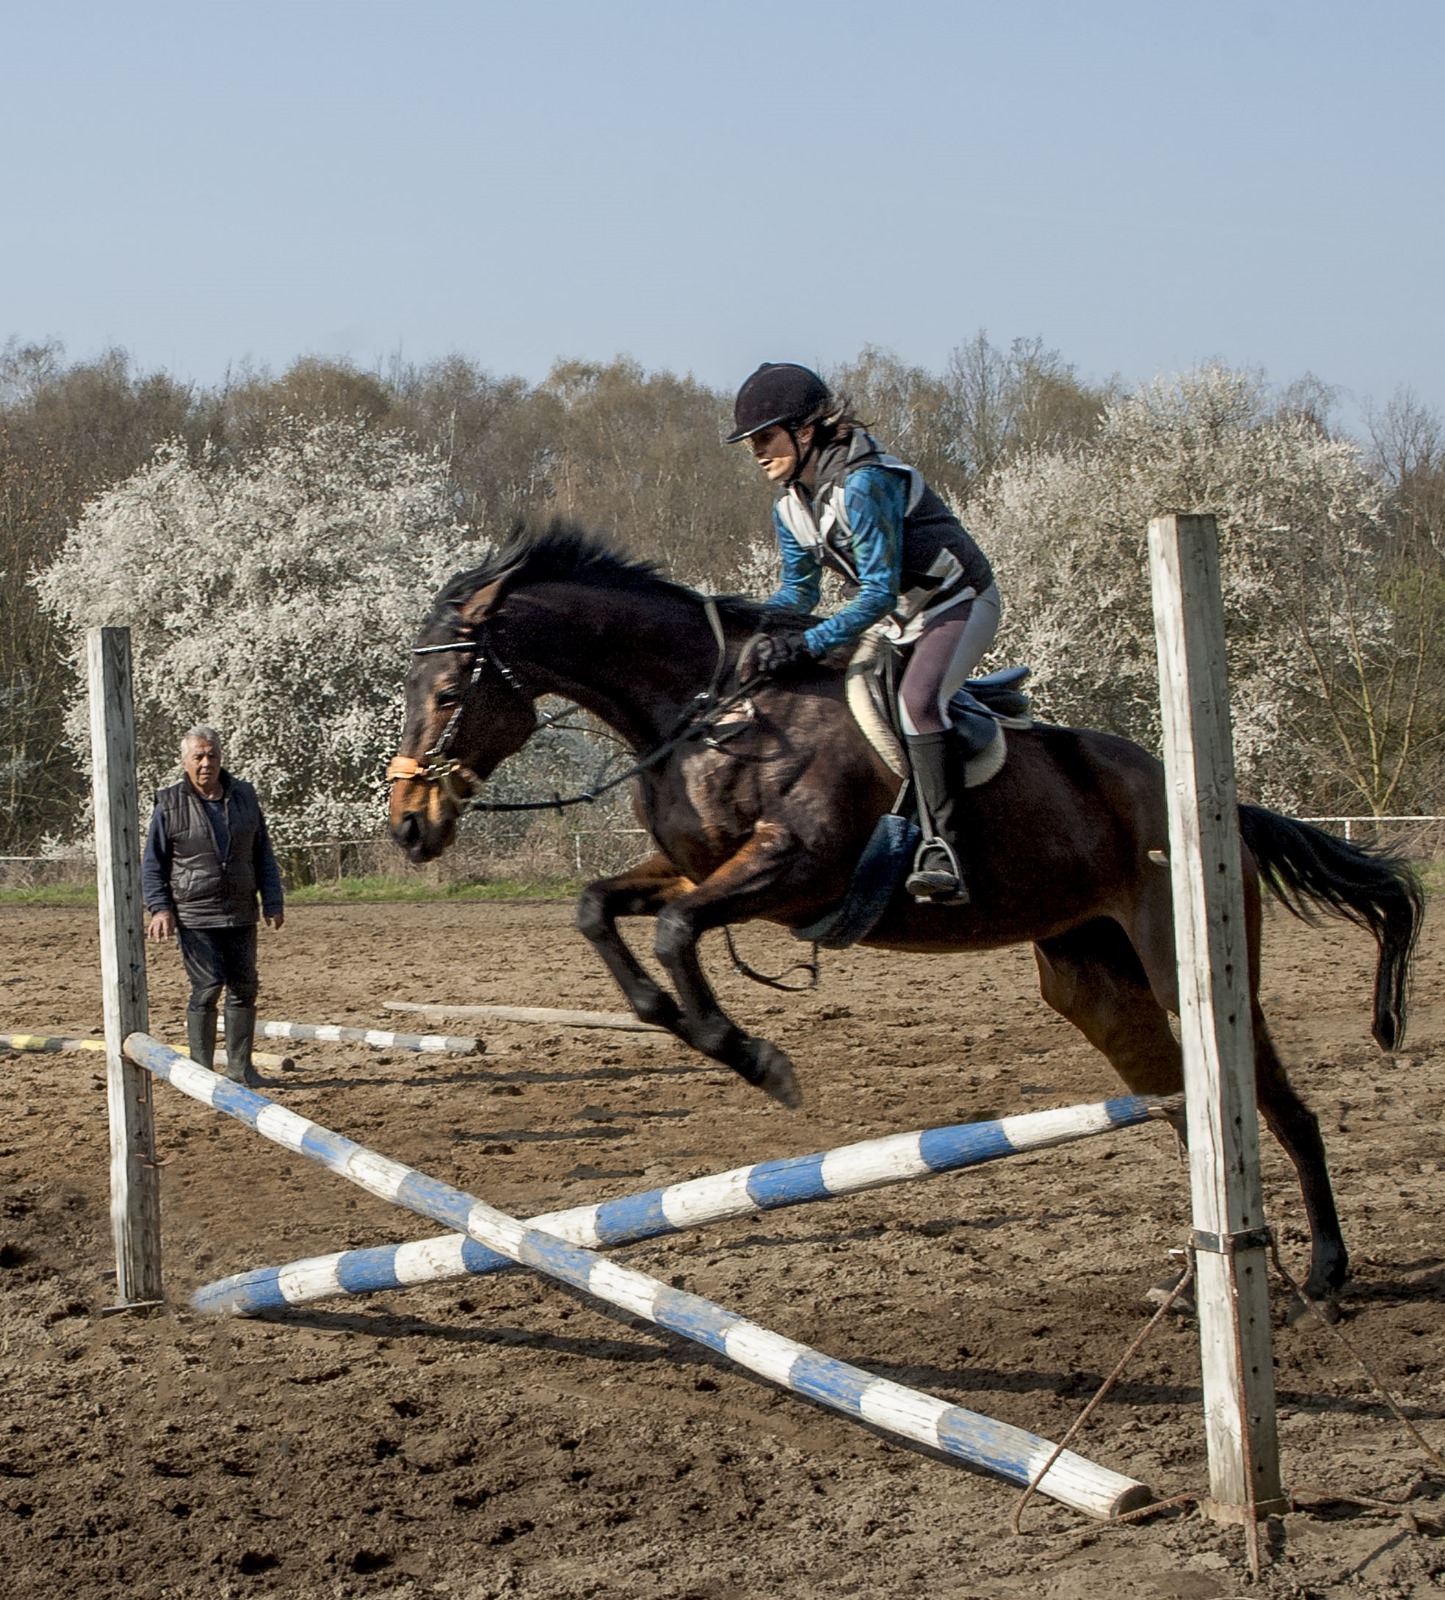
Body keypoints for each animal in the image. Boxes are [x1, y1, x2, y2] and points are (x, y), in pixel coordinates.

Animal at [390, 518, 1427, 1305]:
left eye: (443, 690)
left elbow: (677, 932)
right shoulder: (694, 869)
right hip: (1093, 982)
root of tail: (1209, 801)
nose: (408, 824)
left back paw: (1324, 1274)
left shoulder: (795, 872)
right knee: (1184, 1112)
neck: (710, 712)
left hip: (1185, 963)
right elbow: (597, 911)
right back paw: (1199, 1281)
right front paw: (677, 1023)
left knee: (1276, 1104)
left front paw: (758, 1062)